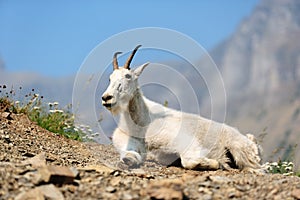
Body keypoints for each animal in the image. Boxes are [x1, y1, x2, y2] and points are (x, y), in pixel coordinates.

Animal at [102, 45, 262, 172]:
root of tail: (251, 141)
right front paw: (127, 161)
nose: (106, 98)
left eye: (128, 76)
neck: (143, 120)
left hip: (239, 148)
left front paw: (216, 163)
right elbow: (130, 155)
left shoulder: (182, 139)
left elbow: (189, 161)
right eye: (110, 78)